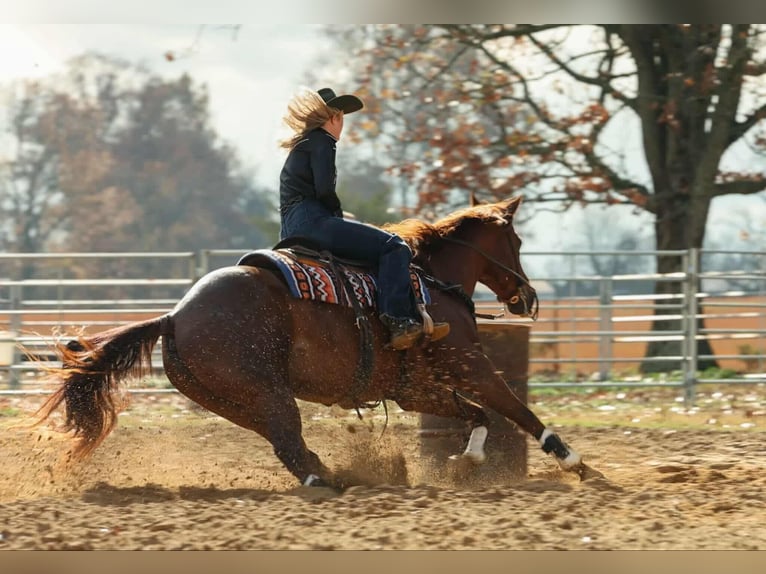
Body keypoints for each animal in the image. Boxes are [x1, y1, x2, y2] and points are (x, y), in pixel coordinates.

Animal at [33, 195, 604, 488]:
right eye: (517, 240)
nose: (528, 298)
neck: (430, 282)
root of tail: (174, 316)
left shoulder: (415, 388)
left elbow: (477, 415)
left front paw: (466, 463)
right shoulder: (470, 365)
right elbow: (513, 409)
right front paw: (576, 463)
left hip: (234, 400)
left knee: (285, 442)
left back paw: (336, 476)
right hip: (264, 390)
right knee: (288, 442)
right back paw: (328, 482)